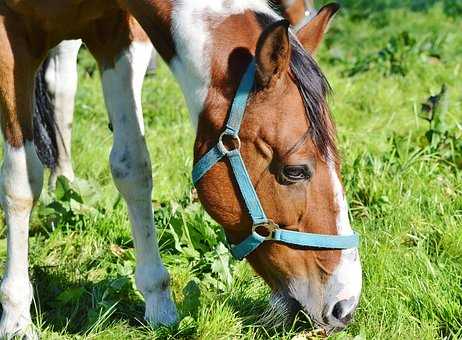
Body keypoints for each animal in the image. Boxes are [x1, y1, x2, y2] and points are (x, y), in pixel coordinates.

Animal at [0, 0, 360, 338]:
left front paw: (158, 303)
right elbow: (21, 183)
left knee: (61, 84)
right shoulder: (11, 38)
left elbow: (132, 167)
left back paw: (65, 181)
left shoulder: (113, 33)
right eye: (295, 171)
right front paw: (17, 316)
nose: (345, 305)